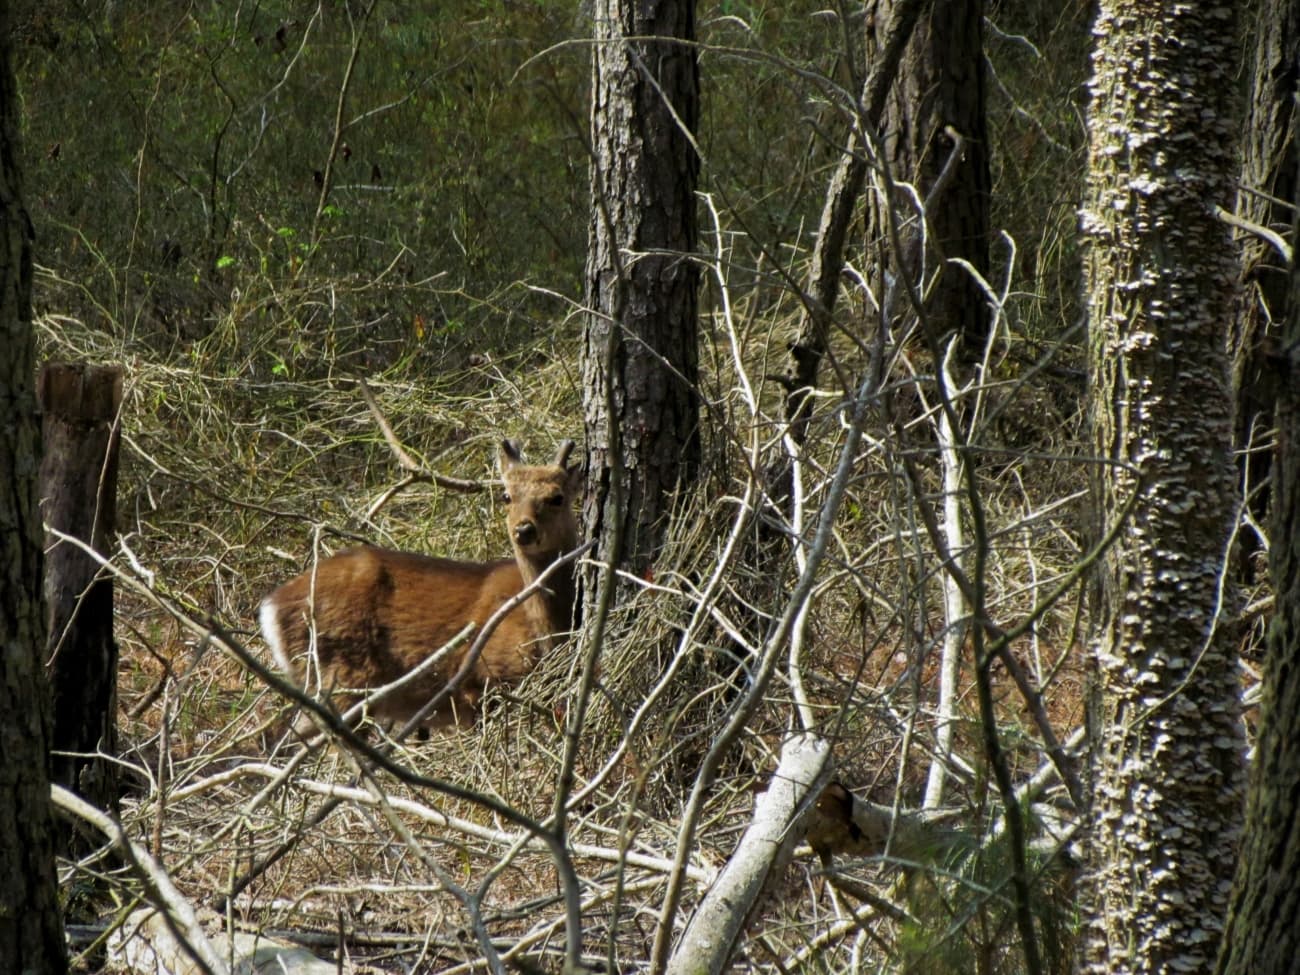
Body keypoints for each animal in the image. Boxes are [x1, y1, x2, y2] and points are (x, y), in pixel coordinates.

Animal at [259, 439, 583, 735]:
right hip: (340, 673)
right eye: (506, 496)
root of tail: (270, 606)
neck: (546, 629)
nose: (524, 529)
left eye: (557, 497)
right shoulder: (482, 678)